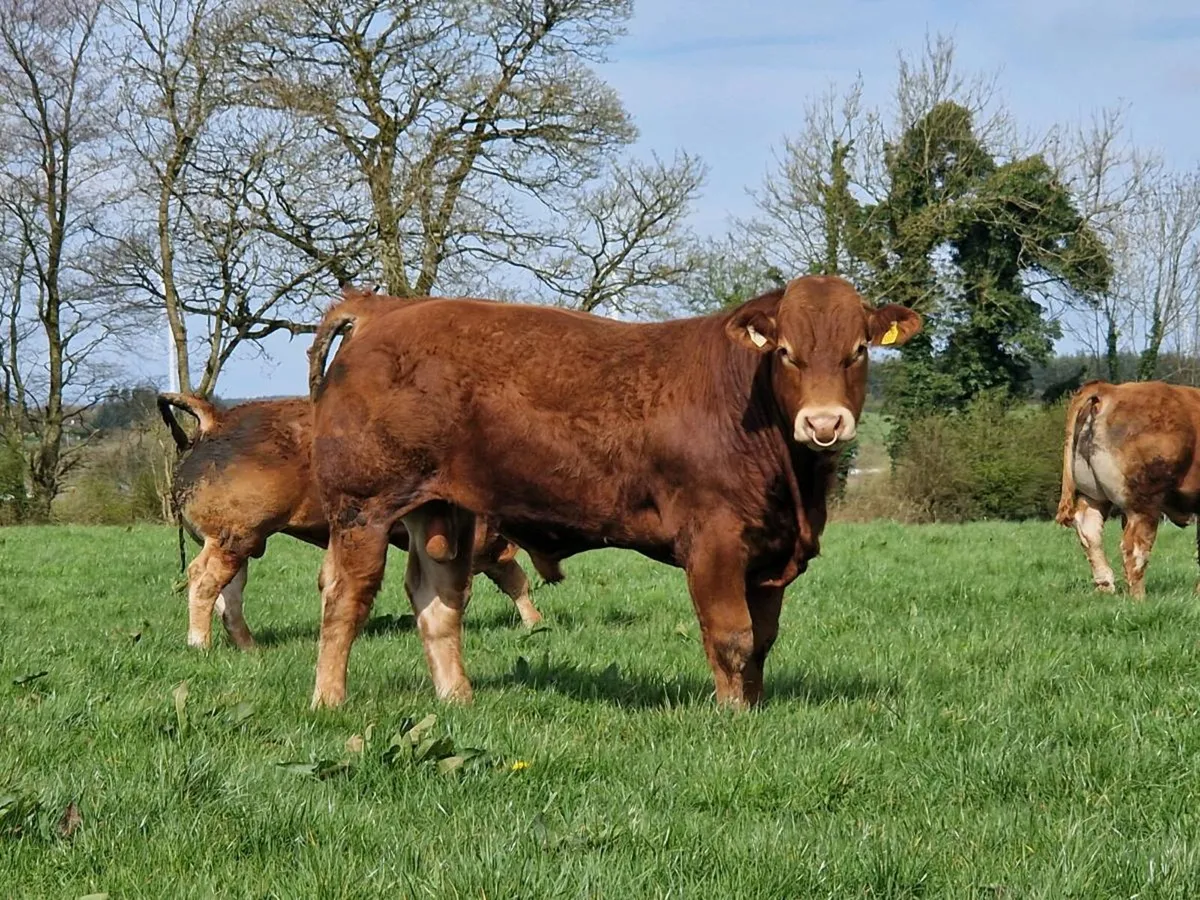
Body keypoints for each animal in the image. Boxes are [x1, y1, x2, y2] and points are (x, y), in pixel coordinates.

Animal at [159, 393, 561, 650]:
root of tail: (215, 420)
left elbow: (515, 581)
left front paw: (537, 624)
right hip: (235, 533)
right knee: (203, 580)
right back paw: (200, 645)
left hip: (239, 539)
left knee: (230, 591)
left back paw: (250, 648)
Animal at [304, 274, 921, 709]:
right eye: (788, 352)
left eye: (858, 351)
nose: (824, 422)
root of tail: (386, 307)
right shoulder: (714, 539)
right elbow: (732, 635)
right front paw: (732, 715)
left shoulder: (771, 552)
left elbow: (763, 640)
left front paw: (757, 706)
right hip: (363, 505)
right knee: (345, 599)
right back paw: (329, 701)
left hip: (443, 509)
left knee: (438, 602)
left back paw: (457, 698)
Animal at [1056, 379, 1200, 598]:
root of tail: (1110, 389)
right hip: (1143, 504)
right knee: (1134, 547)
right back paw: (1139, 597)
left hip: (1092, 495)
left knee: (1089, 530)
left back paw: (1105, 586)